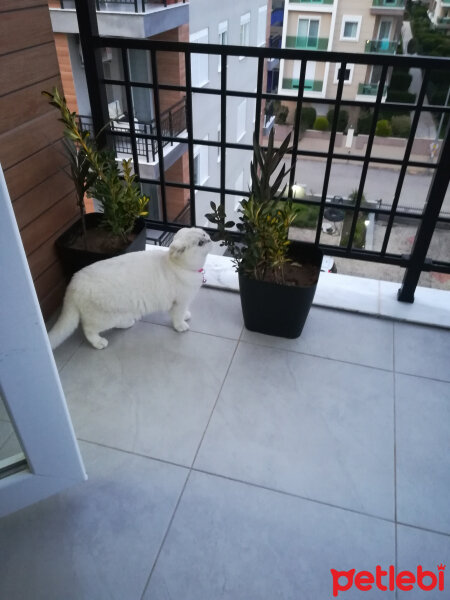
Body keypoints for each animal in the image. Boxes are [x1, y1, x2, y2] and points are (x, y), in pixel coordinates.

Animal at [48, 230, 212, 352]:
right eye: (200, 243)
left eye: (204, 234)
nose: (209, 239)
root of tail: (74, 282)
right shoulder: (180, 302)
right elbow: (177, 317)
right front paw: (181, 326)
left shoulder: (183, 302)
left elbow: (183, 312)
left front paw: (186, 316)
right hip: (103, 317)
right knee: (88, 329)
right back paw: (99, 342)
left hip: (119, 312)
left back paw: (127, 323)